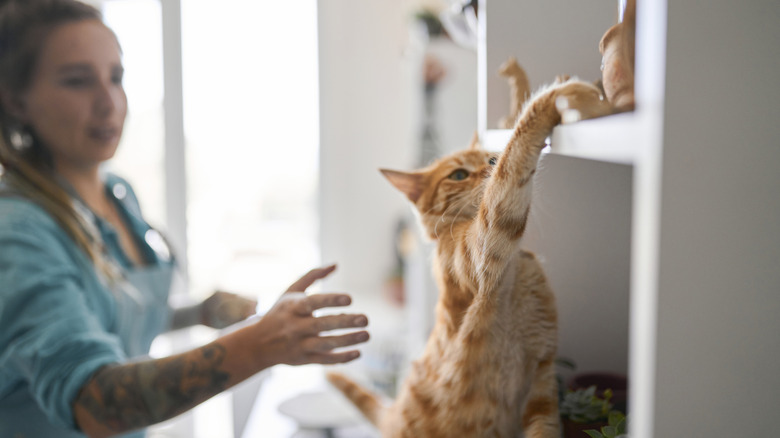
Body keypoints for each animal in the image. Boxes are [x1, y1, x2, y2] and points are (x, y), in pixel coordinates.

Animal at [326, 79, 612, 438]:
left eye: (490, 158)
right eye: (459, 175)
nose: (490, 163)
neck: (517, 265)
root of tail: (392, 413)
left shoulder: (541, 382)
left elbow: (543, 427)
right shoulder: (487, 238)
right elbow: (514, 158)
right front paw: (558, 95)